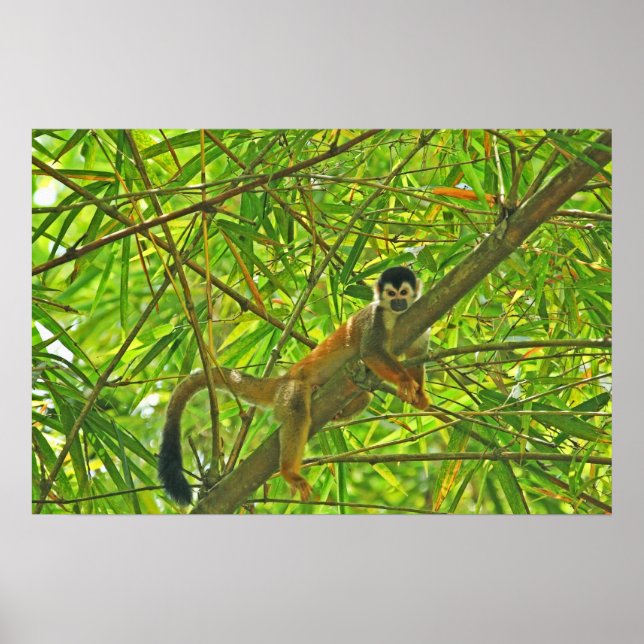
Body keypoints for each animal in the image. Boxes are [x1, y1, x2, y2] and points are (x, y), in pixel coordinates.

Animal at [158, 266, 430, 506]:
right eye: (391, 294)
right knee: (298, 412)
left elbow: (416, 354)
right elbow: (371, 351)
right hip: (289, 391)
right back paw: (289, 470)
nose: (399, 303)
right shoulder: (375, 318)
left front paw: (419, 394)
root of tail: (282, 379)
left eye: (403, 293)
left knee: (364, 396)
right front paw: (405, 381)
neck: (395, 316)